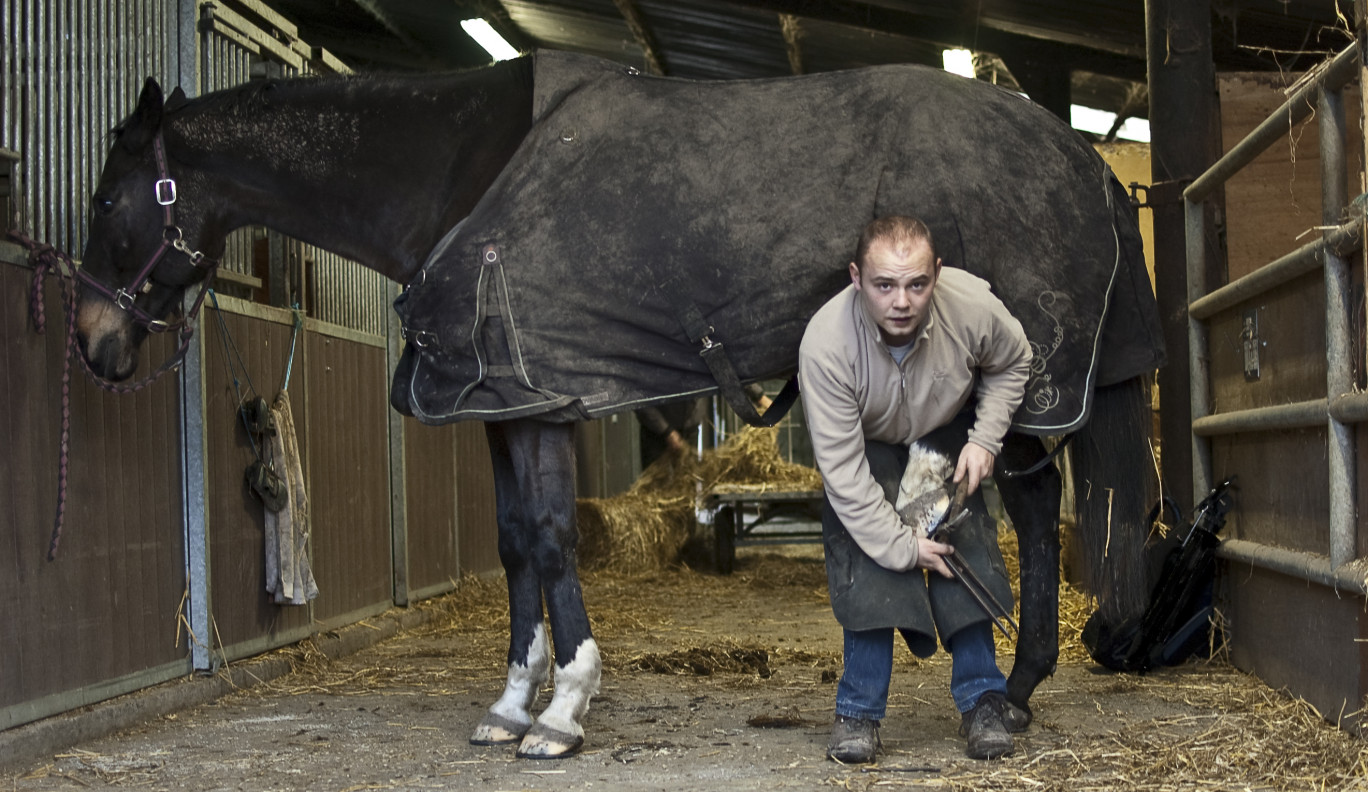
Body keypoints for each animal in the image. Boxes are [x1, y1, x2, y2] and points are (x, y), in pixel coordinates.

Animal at [74, 54, 1165, 760]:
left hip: (1026, 388)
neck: (460, 171)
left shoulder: (543, 397)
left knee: (1028, 510)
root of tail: (1086, 160)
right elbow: (516, 543)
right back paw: (1018, 691)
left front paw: (563, 713)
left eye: (105, 197)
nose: (93, 344)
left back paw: (1013, 694)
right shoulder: (503, 404)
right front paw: (512, 705)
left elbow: (555, 540)